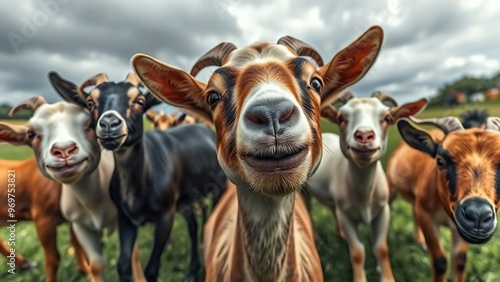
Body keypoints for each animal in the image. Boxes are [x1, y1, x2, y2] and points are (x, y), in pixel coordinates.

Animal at [0, 95, 143, 282]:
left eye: (90, 125)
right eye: (31, 134)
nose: (63, 149)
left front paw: (85, 270)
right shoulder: (47, 219)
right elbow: (55, 258)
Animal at [50, 72, 227, 282]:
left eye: (140, 101)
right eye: (90, 102)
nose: (109, 124)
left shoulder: (165, 216)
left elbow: (151, 270)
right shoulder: (125, 218)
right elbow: (123, 265)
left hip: (218, 189)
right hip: (186, 199)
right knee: (193, 227)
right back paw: (192, 272)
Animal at [308, 91, 426, 280]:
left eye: (386, 117)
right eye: (341, 117)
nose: (364, 136)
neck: (364, 193)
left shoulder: (383, 211)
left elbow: (381, 249)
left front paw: (387, 277)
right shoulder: (346, 216)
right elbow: (357, 252)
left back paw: (340, 235)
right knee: (309, 210)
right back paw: (316, 239)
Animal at [386, 115, 500, 280]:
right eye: (440, 161)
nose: (478, 215)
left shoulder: (457, 227)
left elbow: (459, 260)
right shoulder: (426, 215)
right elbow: (440, 262)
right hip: (390, 185)